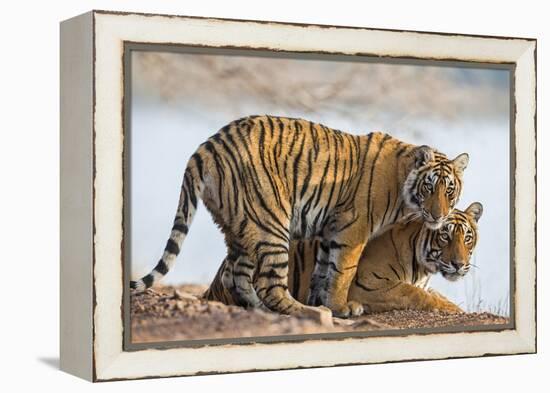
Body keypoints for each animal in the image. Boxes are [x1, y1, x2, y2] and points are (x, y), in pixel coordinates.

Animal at [206, 202, 484, 312]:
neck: (423, 268)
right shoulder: (368, 286)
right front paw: (452, 310)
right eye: (445, 236)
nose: (459, 264)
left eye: (467, 238)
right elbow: (415, 294)